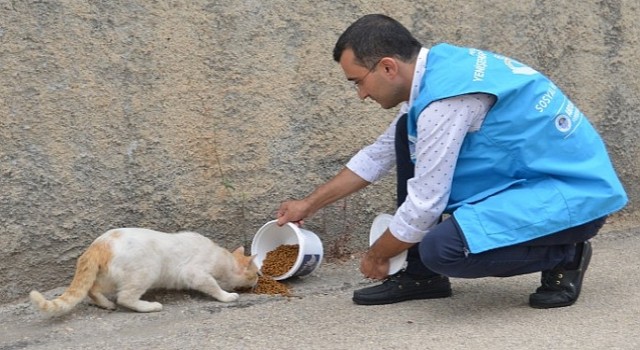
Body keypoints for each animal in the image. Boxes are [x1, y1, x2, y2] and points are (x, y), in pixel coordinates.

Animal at [27, 228, 258, 316]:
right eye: (256, 274)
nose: (258, 281)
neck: (224, 258)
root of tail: (97, 245)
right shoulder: (195, 273)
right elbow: (214, 287)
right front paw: (227, 296)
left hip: (110, 277)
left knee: (93, 289)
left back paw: (106, 304)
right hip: (146, 271)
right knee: (125, 298)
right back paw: (150, 306)